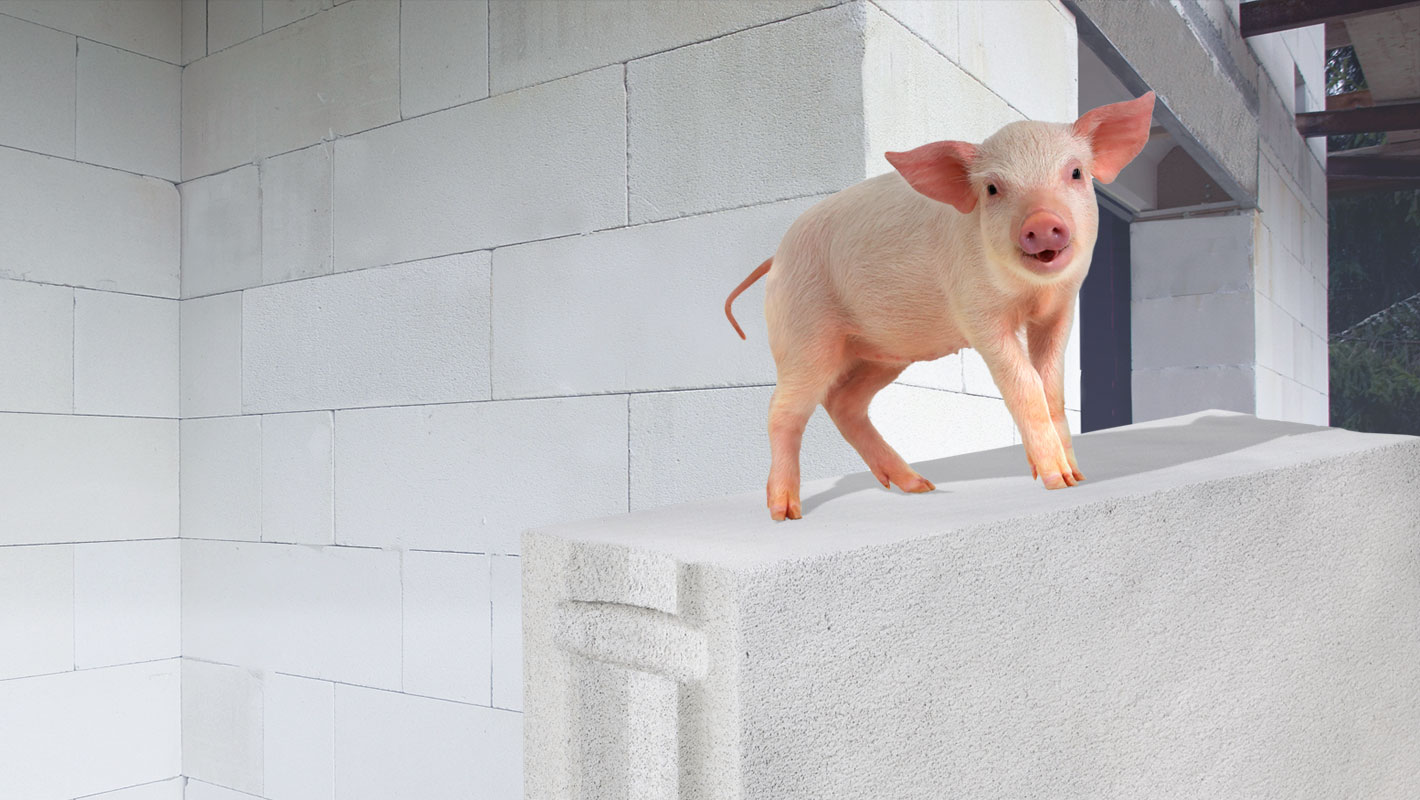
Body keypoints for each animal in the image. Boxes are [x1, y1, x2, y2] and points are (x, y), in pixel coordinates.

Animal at [724, 92, 1156, 521]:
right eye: (993, 188)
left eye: (1076, 172)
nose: (1041, 221)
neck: (1030, 292)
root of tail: (775, 258)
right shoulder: (978, 312)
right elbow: (1025, 383)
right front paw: (1056, 481)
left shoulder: (1060, 310)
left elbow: (1052, 388)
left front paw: (1077, 477)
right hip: (803, 331)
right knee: (783, 410)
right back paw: (784, 512)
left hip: (883, 352)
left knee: (843, 403)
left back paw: (921, 487)